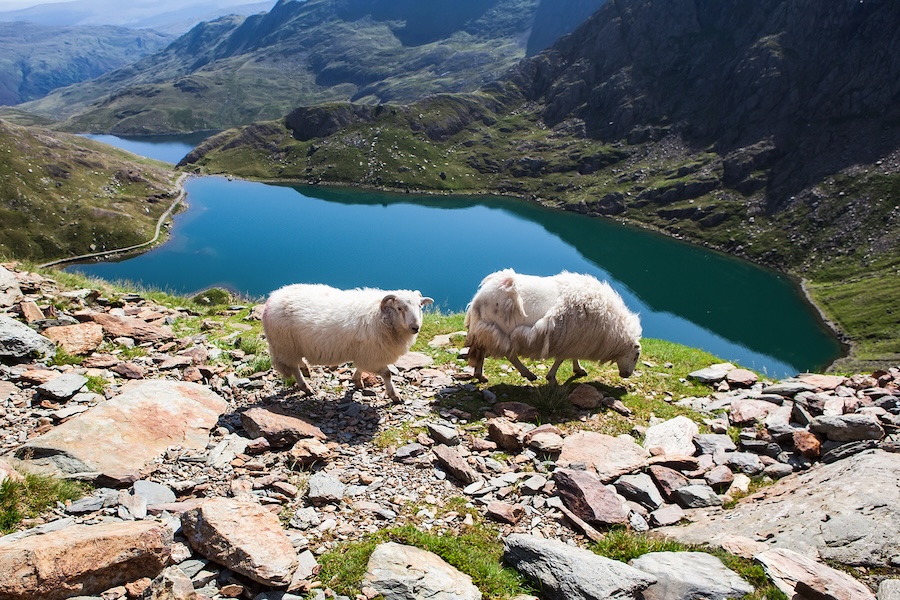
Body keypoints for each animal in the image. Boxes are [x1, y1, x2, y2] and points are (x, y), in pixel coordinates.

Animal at [262, 283, 433, 402]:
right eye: (399, 308)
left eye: (420, 306)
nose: (415, 327)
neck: (381, 317)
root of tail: (272, 298)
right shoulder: (373, 354)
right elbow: (387, 373)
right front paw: (394, 395)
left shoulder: (366, 353)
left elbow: (361, 367)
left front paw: (357, 381)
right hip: (285, 345)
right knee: (293, 367)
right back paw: (306, 386)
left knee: (297, 363)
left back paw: (306, 369)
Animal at [464, 269, 642, 384]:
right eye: (636, 355)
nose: (626, 375)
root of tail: (479, 297)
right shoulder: (570, 338)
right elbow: (561, 359)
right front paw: (552, 377)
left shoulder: (575, 339)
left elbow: (571, 356)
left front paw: (578, 369)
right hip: (498, 330)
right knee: (508, 354)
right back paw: (527, 374)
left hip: (489, 329)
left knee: (486, 351)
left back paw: (480, 375)